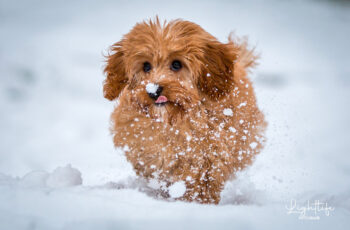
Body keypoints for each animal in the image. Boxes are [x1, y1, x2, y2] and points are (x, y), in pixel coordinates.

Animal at [102, 18, 266, 204]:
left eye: (176, 64)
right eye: (146, 66)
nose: (153, 91)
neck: (173, 119)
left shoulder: (210, 154)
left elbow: (202, 182)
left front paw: (196, 202)